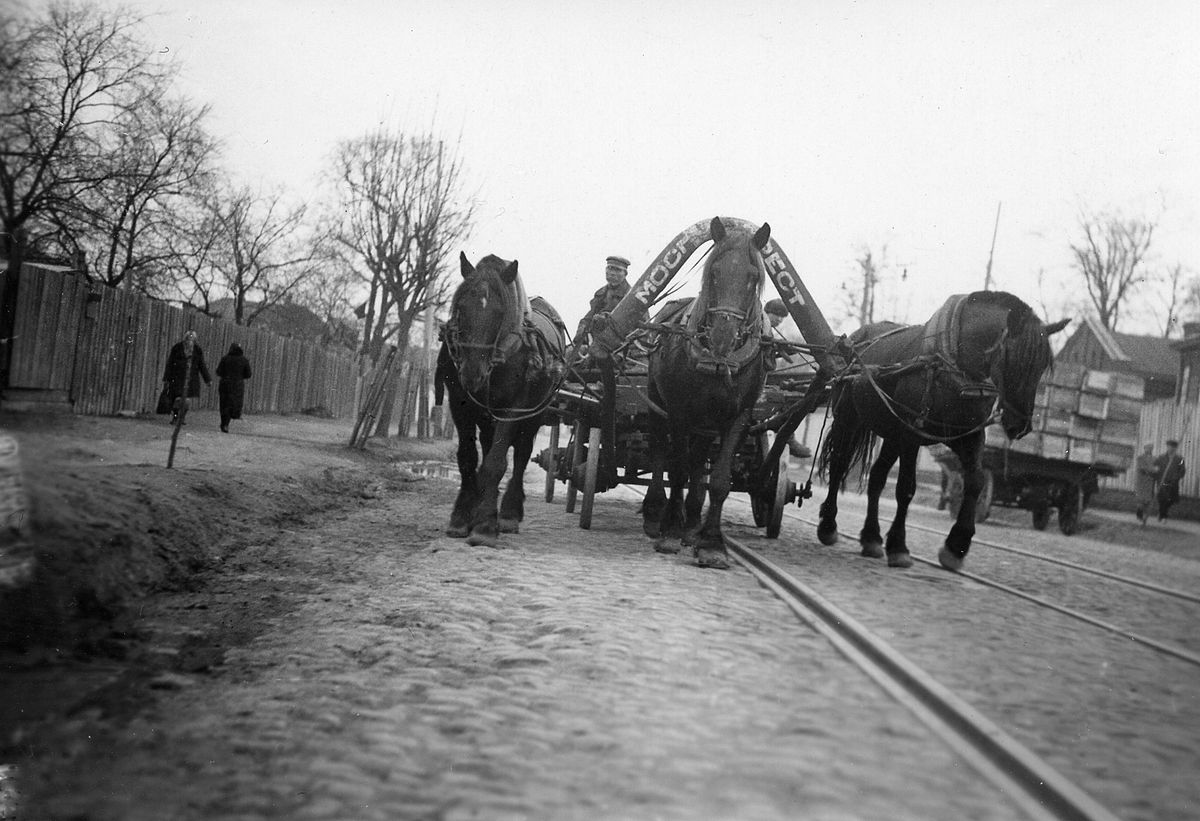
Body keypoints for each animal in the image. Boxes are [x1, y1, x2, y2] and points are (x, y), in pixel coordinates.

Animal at [436, 249, 566, 544]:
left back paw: (508, 513)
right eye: (461, 307)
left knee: (521, 455)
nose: (472, 373)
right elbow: (468, 458)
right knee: (487, 447)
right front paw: (462, 517)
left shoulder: (513, 410)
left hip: (534, 416)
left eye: (499, 312)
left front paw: (485, 525)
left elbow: (496, 462)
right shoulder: (459, 404)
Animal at [643, 214, 772, 566]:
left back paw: (691, 524)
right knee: (659, 452)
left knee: (698, 461)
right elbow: (676, 470)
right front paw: (671, 532)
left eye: (753, 277)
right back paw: (657, 515)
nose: (722, 338)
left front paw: (711, 542)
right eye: (713, 272)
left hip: (706, 425)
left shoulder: (738, 416)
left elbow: (719, 480)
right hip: (657, 404)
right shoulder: (679, 412)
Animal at [816, 290, 1070, 571]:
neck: (952, 363)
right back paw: (828, 526)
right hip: (848, 420)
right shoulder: (912, 436)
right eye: (1015, 360)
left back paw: (871, 538)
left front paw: (956, 546)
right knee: (839, 465)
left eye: (1041, 367)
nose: (1021, 425)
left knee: (877, 477)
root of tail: (852, 341)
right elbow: (906, 488)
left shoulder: (969, 436)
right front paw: (899, 547)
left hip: (892, 435)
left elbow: (976, 482)